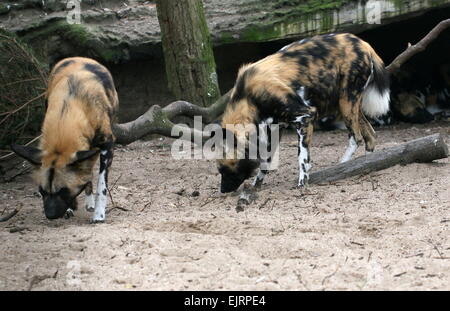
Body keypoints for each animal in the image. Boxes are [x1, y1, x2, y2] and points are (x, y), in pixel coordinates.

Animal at [11, 56, 118, 222]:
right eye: (42, 191)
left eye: (63, 191)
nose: (50, 215)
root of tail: (80, 57)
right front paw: (70, 208)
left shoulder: (107, 146)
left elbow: (102, 186)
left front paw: (99, 214)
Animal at [216, 31, 388, 193]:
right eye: (220, 170)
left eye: (225, 169)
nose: (223, 190)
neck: (248, 99)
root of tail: (363, 43)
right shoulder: (273, 129)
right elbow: (266, 162)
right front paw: (256, 185)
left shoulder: (305, 116)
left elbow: (302, 158)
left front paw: (302, 183)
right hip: (347, 105)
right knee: (370, 136)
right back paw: (366, 163)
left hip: (346, 102)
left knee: (356, 137)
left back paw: (343, 164)